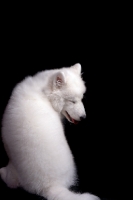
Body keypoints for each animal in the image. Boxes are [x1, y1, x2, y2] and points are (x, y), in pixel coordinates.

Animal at [0, 64, 100, 200]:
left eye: (81, 99)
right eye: (72, 101)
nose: (83, 117)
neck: (44, 93)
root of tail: (51, 185)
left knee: (11, 181)